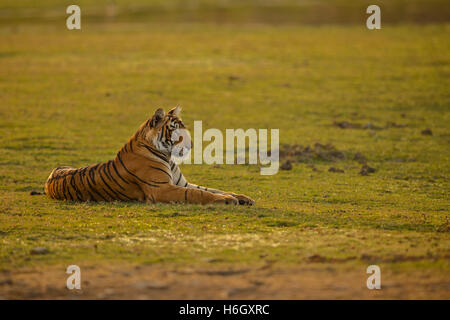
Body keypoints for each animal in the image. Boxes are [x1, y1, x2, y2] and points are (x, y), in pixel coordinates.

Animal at [40, 107, 255, 205]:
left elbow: (212, 189)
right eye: (175, 131)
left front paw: (242, 197)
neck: (167, 156)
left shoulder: (182, 183)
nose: (191, 145)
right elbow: (199, 194)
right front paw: (228, 200)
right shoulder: (161, 189)